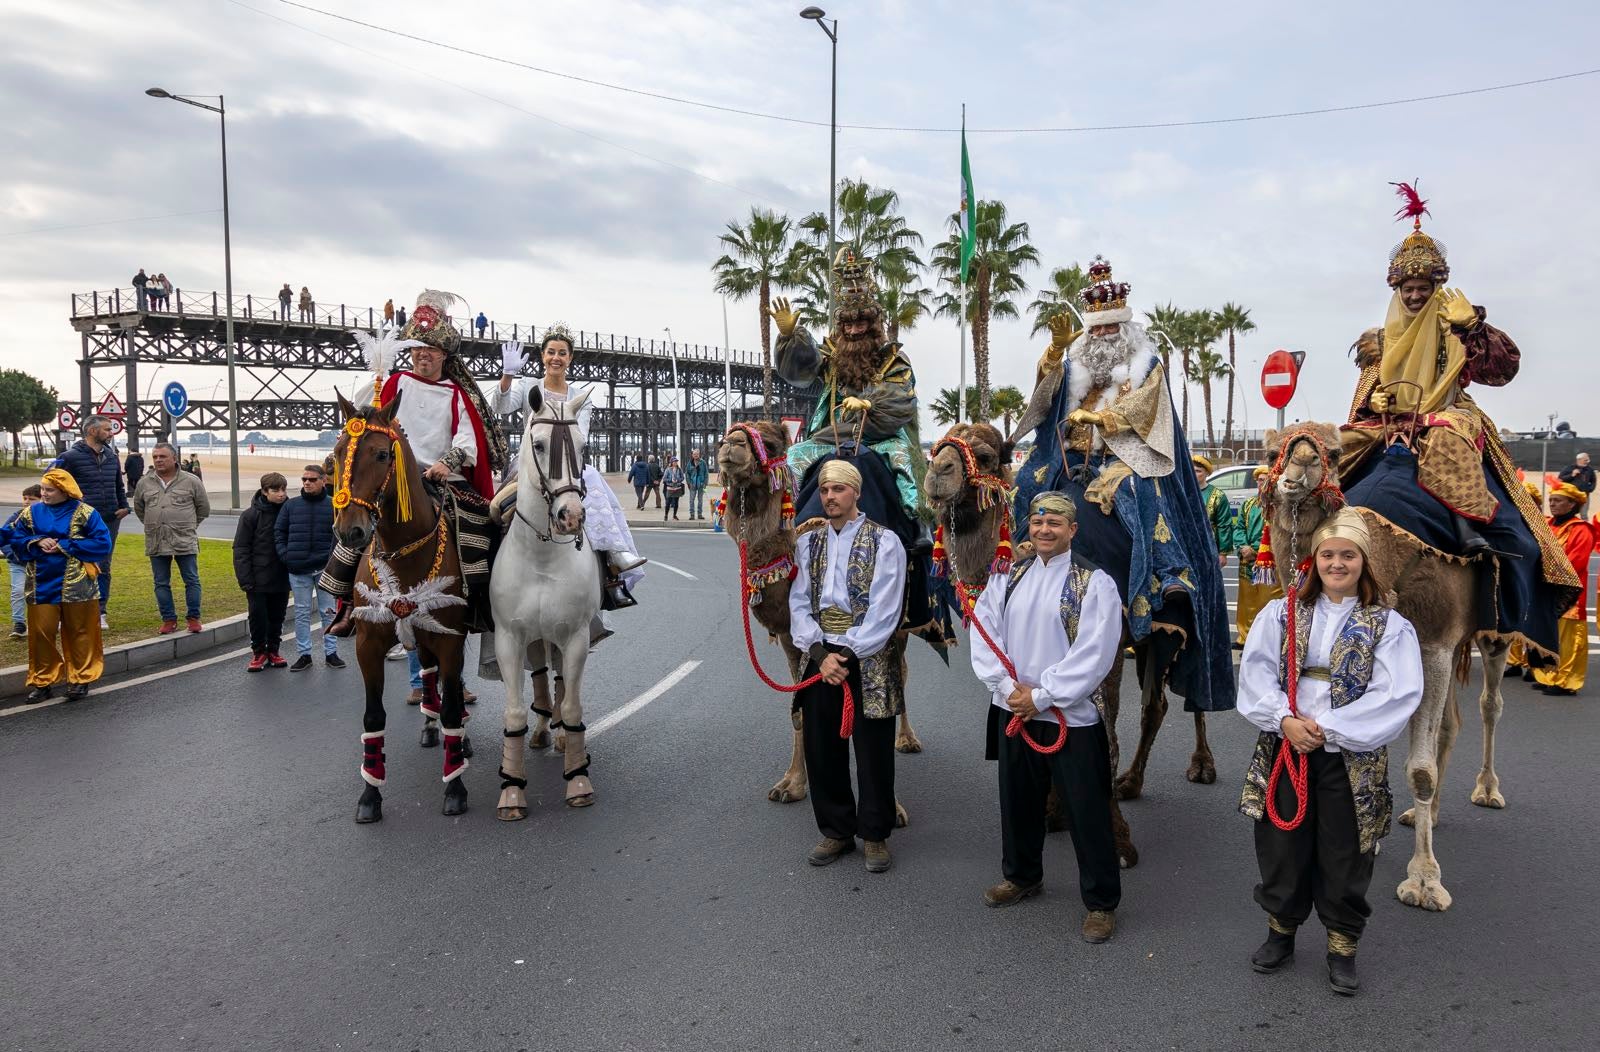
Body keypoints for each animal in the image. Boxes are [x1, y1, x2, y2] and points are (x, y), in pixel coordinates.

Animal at [331, 391, 467, 818]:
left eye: (381, 455)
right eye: (336, 452)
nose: (351, 531)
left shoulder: (451, 638)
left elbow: (454, 704)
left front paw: (455, 786)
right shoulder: (368, 645)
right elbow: (373, 716)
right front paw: (370, 794)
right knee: (427, 672)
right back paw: (429, 724)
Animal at [489, 383, 601, 812]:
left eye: (585, 446)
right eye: (537, 444)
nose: (571, 516)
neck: (541, 556)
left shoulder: (576, 636)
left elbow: (571, 705)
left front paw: (578, 780)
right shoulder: (508, 638)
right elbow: (515, 712)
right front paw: (511, 789)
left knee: (558, 681)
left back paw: (560, 734)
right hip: (534, 636)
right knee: (539, 676)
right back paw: (541, 729)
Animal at [720, 418, 921, 812]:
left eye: (769, 443)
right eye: (729, 431)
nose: (730, 445)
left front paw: (893, 808)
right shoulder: (790, 635)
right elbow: (798, 707)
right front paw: (793, 784)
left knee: (902, 675)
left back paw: (907, 740)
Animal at [1260, 422, 1510, 908]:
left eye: (1333, 454)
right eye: (1271, 450)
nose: (1301, 465)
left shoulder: (1432, 643)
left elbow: (1420, 768)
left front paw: (1425, 880)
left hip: (1493, 634)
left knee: (1490, 703)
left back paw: (1487, 789)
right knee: (1450, 722)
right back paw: (1427, 814)